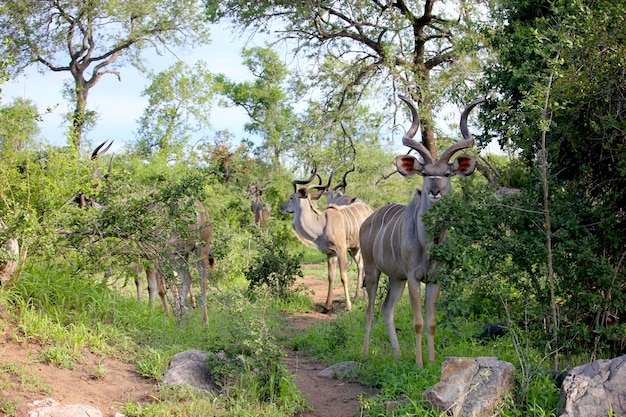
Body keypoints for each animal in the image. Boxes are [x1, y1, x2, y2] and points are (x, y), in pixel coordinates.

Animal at [278, 167, 370, 310]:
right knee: (360, 265)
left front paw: (348, 306)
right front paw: (327, 306)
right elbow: (331, 277)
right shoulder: (330, 253)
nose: (281, 208)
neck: (321, 223)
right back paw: (358, 296)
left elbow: (343, 276)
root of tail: (370, 208)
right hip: (355, 248)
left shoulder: (341, 250)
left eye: (291, 197)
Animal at [358, 93, 480, 364]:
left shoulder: (435, 278)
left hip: (396, 278)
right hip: (372, 270)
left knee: (387, 309)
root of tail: (366, 221)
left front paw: (432, 362)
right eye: (425, 173)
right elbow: (418, 322)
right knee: (370, 310)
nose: (434, 191)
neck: (430, 242)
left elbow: (432, 322)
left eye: (447, 174)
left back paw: (397, 355)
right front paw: (419, 363)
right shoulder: (414, 277)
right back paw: (366, 354)